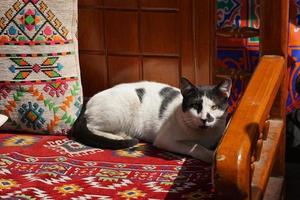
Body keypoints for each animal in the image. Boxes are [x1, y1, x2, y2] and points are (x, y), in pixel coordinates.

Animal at [71, 77, 231, 163]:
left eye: (214, 107)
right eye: (196, 105)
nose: (205, 118)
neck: (204, 134)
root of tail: (88, 100)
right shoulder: (165, 139)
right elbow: (195, 146)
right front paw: (210, 156)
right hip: (121, 109)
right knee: (92, 126)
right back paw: (119, 136)